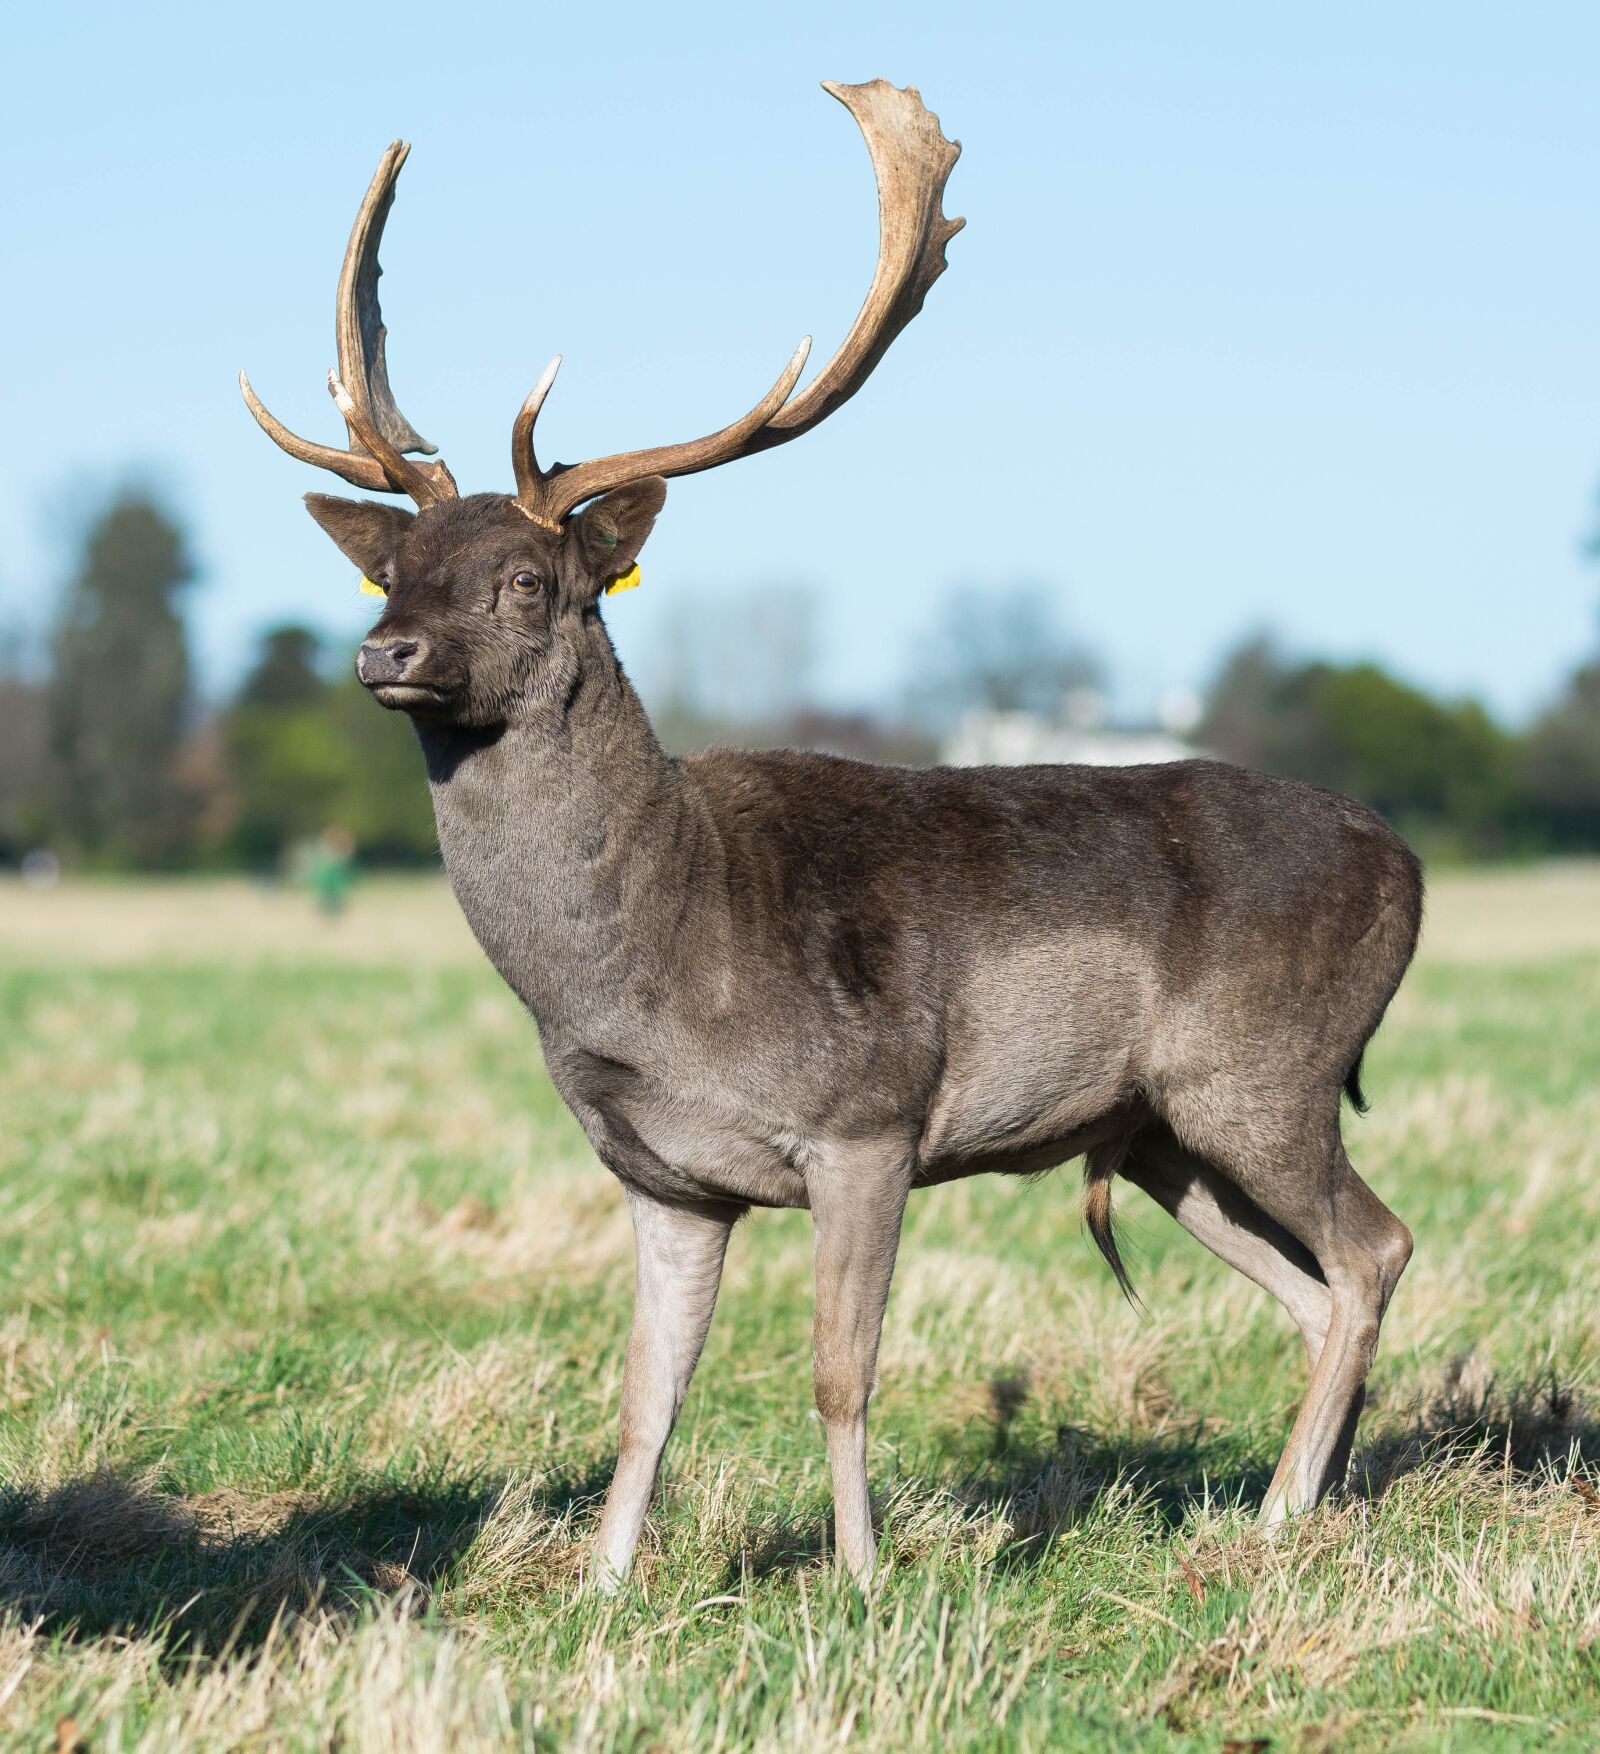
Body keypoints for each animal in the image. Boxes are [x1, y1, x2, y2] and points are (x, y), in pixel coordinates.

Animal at [241, 79, 1421, 1592]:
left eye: (526, 581)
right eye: (390, 568)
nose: (382, 652)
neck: (656, 963)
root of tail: (1409, 863)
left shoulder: (868, 1120)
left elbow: (839, 1369)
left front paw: (859, 1577)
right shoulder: (663, 1176)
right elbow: (645, 1390)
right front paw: (603, 1584)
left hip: (1264, 1069)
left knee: (1377, 1247)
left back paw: (1279, 1515)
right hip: (1160, 1130)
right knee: (1317, 1282)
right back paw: (1286, 1505)